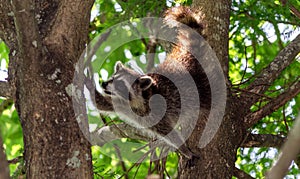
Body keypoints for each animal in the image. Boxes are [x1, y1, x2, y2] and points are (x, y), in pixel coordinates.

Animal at [95, 6, 210, 158]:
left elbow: (169, 132)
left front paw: (184, 150)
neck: (136, 102)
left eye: (120, 84)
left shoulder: (156, 112)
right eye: (112, 78)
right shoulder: (120, 104)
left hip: (195, 83)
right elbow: (102, 103)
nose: (103, 84)